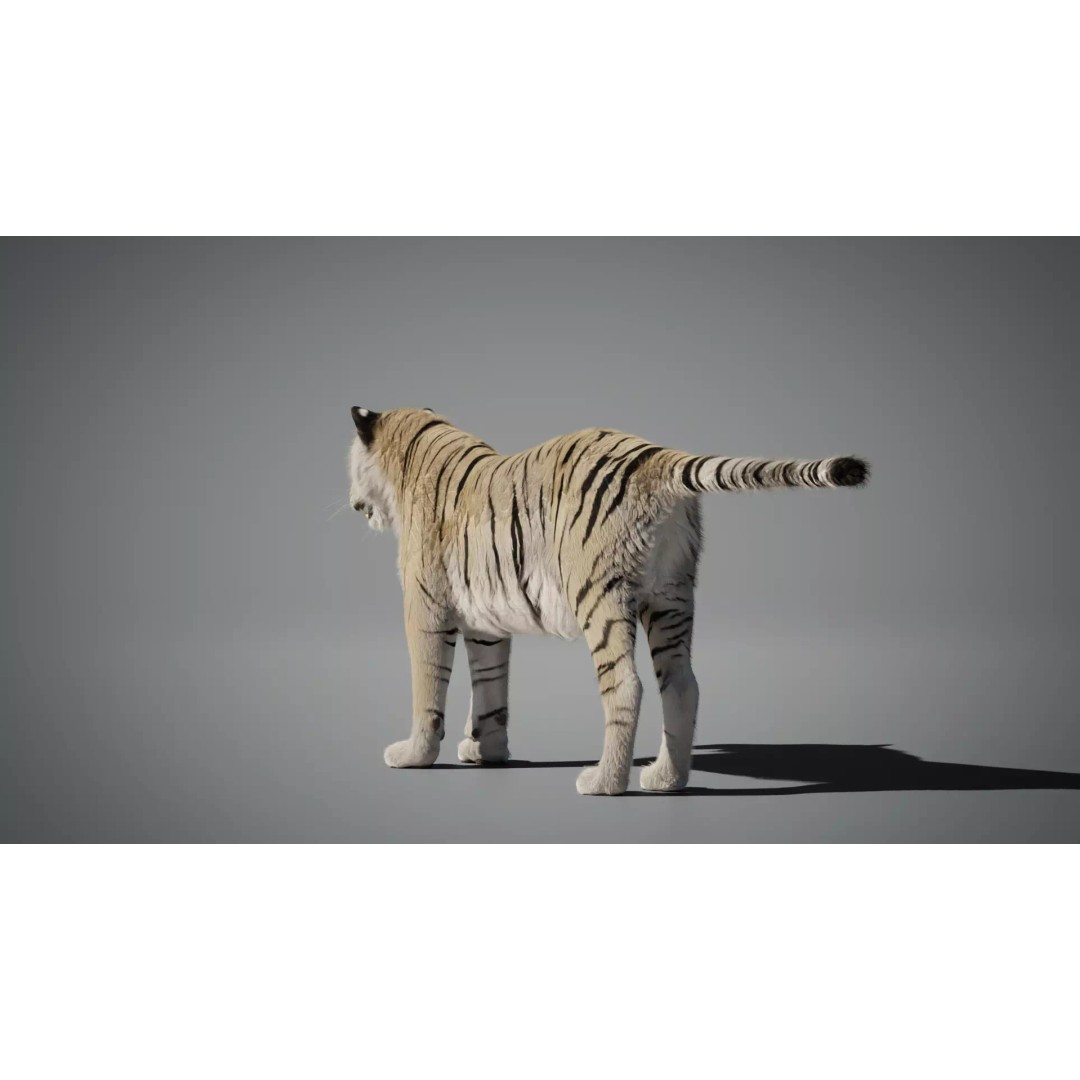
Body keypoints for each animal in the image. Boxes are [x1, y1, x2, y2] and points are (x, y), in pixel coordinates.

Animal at [347, 405, 868, 795]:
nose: (353, 503)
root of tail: (659, 456)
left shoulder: (425, 610)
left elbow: (426, 687)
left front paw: (413, 755)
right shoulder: (486, 625)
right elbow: (490, 690)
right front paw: (486, 752)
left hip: (599, 597)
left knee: (626, 686)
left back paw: (604, 781)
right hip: (671, 598)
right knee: (682, 684)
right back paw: (666, 780)